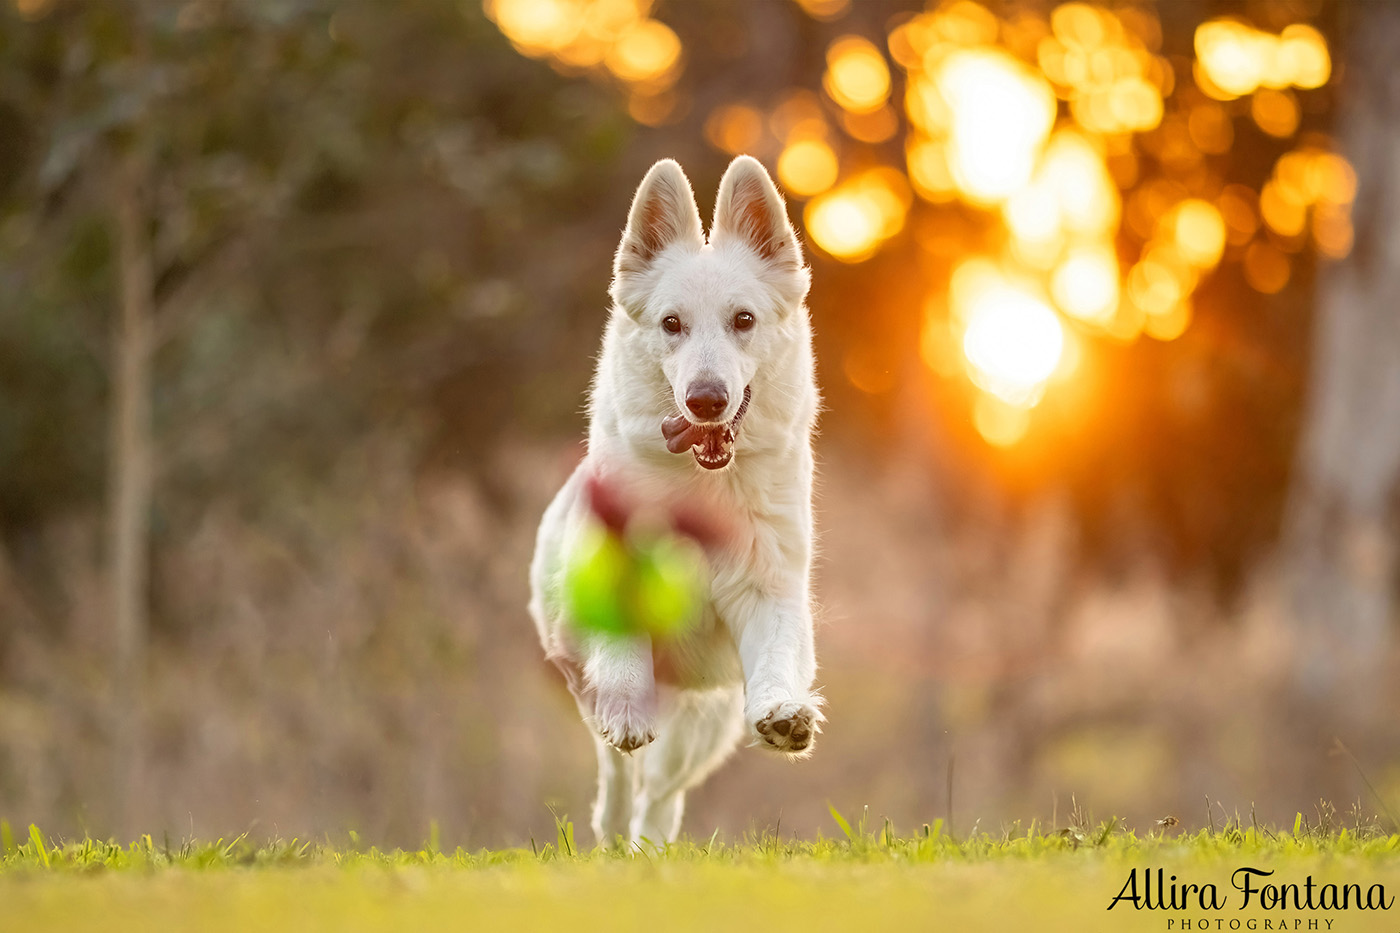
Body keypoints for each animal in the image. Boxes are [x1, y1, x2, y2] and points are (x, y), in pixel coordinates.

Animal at [529, 158, 823, 840]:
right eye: (671, 324)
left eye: (744, 320)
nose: (706, 400)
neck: (702, 488)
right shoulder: (611, 579)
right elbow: (622, 652)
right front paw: (628, 705)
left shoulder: (768, 590)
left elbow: (778, 656)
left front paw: (784, 713)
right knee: (619, 780)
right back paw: (615, 830)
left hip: (705, 725)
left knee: (661, 794)